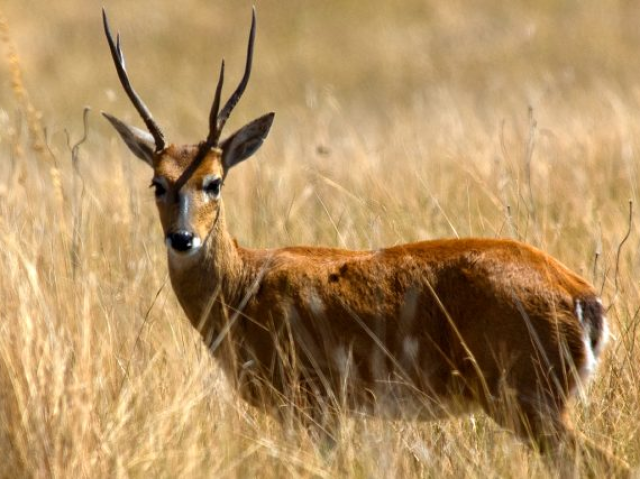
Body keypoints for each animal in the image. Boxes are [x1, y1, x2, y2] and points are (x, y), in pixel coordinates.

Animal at [102, 7, 628, 476]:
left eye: (213, 181)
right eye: (157, 183)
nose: (182, 238)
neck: (243, 286)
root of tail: (583, 297)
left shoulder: (314, 404)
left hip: (529, 400)